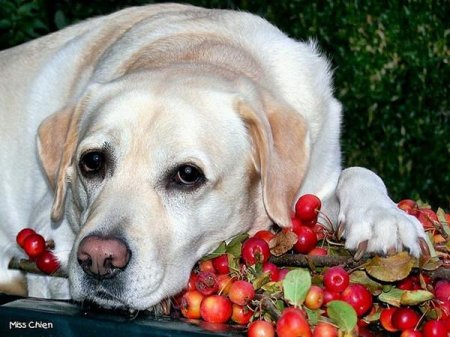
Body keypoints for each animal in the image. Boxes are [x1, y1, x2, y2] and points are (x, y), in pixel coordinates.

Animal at [0, 3, 428, 308]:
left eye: (187, 175)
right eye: (92, 163)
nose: (99, 259)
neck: (203, 50)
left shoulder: (313, 189)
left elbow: (358, 171)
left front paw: (385, 218)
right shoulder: (52, 232)